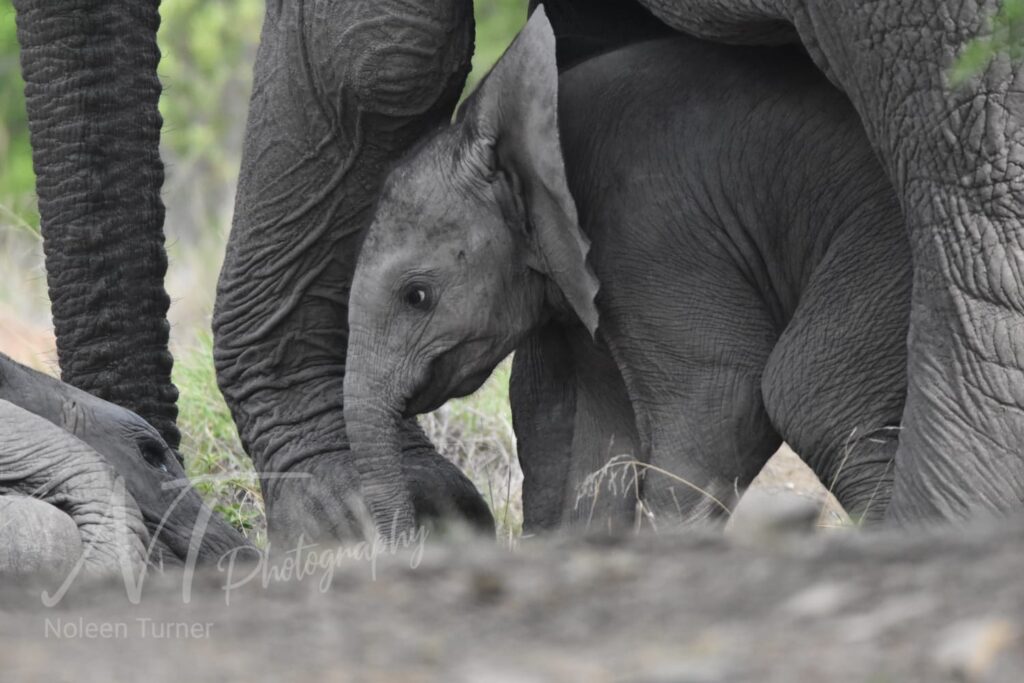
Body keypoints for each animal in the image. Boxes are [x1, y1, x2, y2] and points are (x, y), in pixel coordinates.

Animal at [342, 10, 910, 533]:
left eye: (417, 296)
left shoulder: (650, 232)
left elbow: (723, 393)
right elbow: (598, 441)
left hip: (880, 232)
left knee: (813, 395)